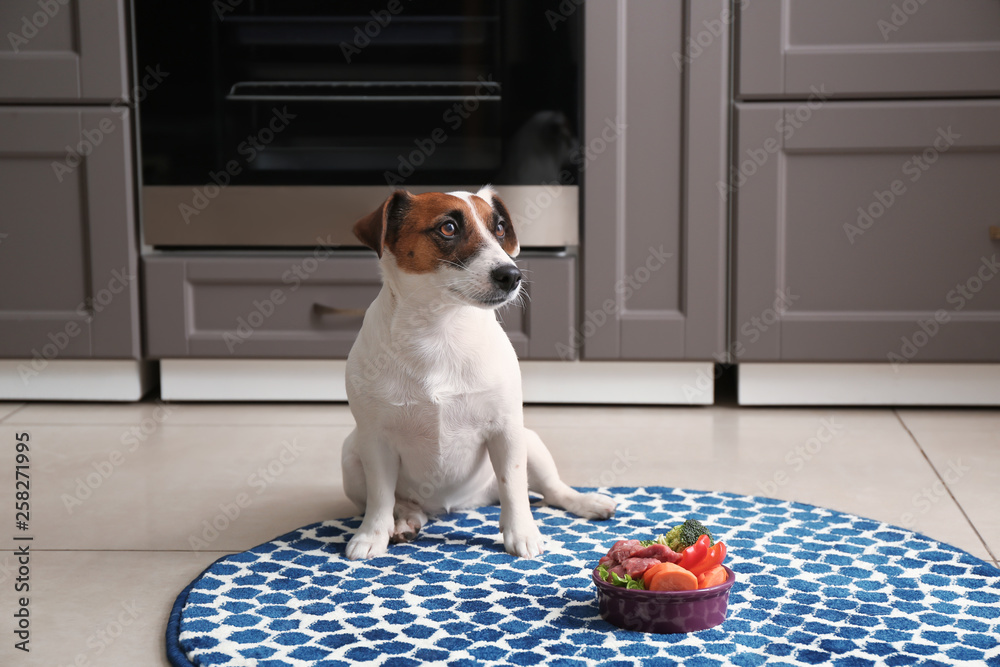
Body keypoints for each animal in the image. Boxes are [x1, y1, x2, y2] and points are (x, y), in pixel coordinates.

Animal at [340, 185, 612, 560]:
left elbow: (514, 485)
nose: (512, 275)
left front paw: (521, 533)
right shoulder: (374, 441)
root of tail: (458, 505)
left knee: (551, 490)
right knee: (402, 502)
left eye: (499, 228)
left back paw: (588, 502)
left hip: (530, 442)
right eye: (448, 228)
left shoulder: (506, 431)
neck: (440, 329)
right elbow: (380, 498)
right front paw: (371, 536)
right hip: (351, 455)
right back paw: (406, 518)